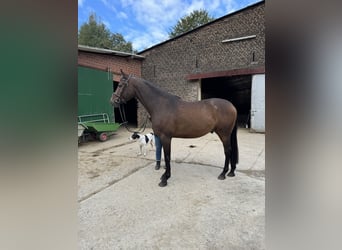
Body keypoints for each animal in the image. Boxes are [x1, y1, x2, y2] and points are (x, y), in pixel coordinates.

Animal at [111, 70, 239, 188]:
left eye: (120, 85)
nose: (112, 101)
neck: (160, 105)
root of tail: (232, 106)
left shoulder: (166, 137)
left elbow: (167, 157)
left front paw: (165, 179)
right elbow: (165, 155)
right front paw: (164, 176)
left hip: (224, 134)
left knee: (228, 151)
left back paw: (223, 174)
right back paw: (231, 172)